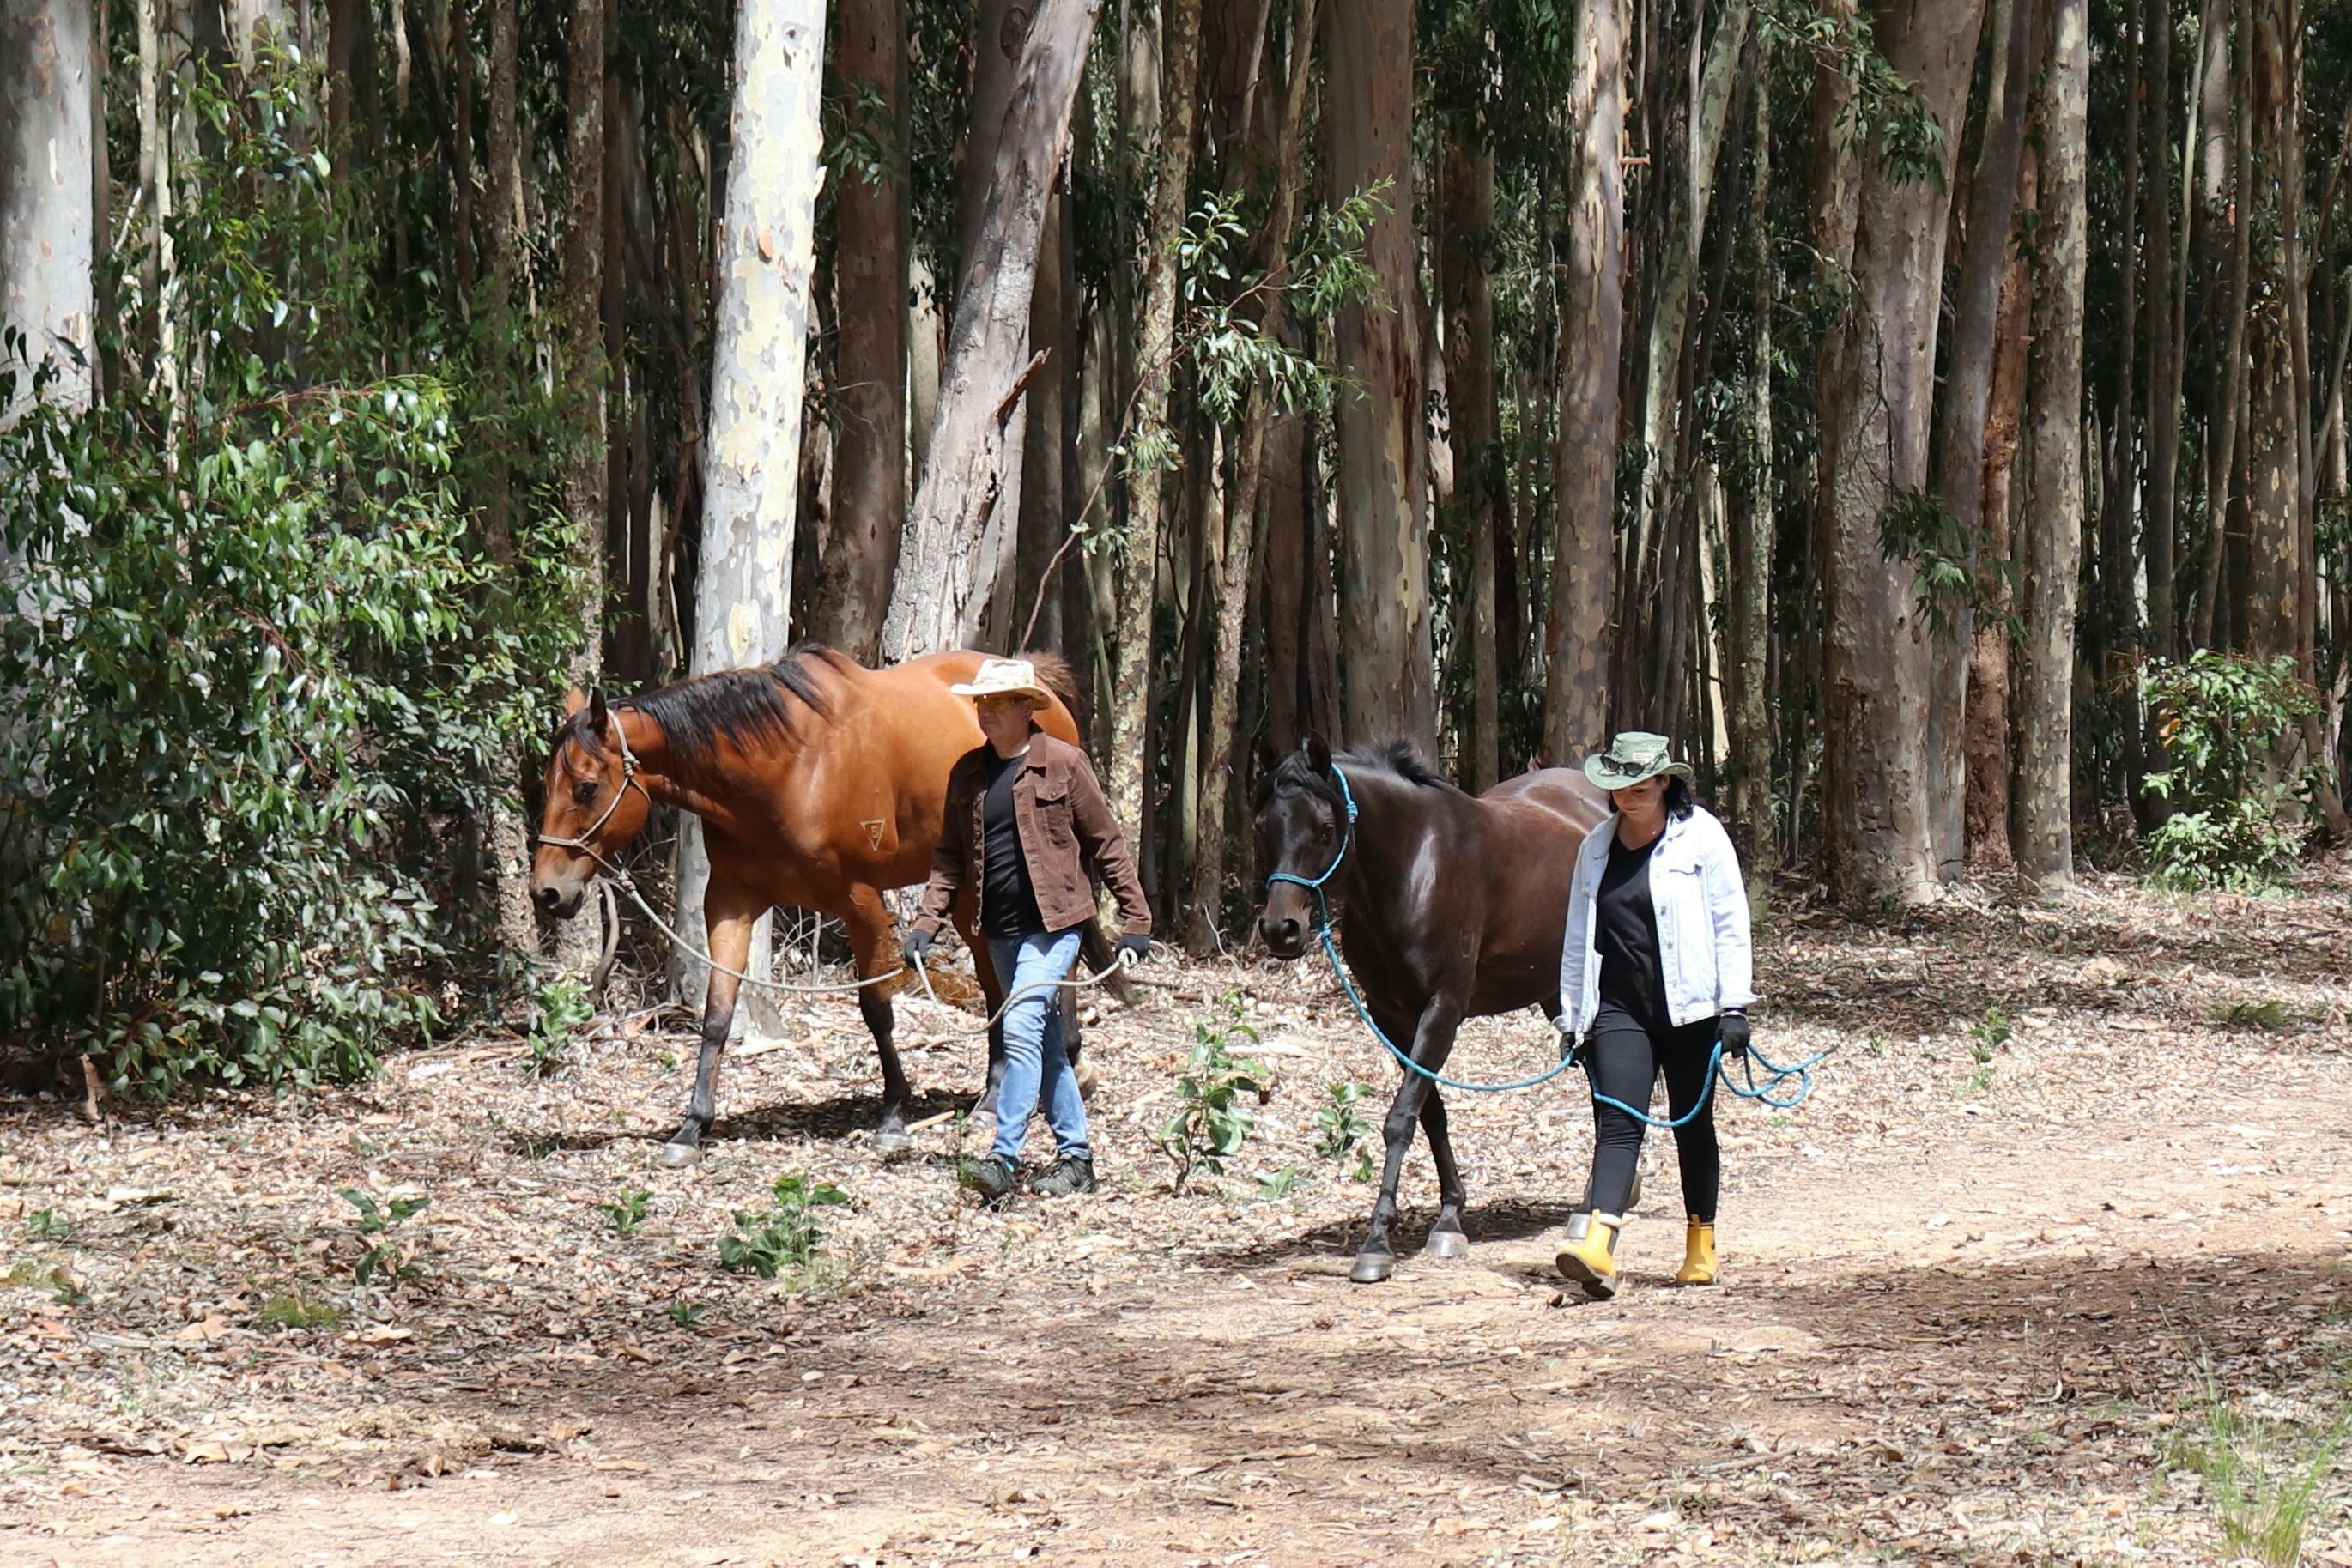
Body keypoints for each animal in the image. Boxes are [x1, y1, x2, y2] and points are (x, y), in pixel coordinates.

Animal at [530, 641, 1116, 1165]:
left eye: (586, 787)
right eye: (547, 782)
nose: (547, 892)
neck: (790, 768)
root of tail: (1041, 687)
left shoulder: (862, 904)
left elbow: (877, 1011)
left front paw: (893, 1117)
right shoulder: (730, 903)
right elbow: (718, 1015)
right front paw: (691, 1128)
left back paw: (1037, 1075)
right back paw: (1029, 1079)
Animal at [1253, 735, 1610, 1283]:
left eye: (1325, 829)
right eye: (1263, 827)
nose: (1280, 930)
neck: (1414, 868)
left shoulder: (1442, 1010)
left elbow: (1402, 1117)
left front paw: (1376, 1243)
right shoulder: (1393, 1016)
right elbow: (1431, 1114)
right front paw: (1449, 1219)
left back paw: (1591, 1206)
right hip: (1557, 990)